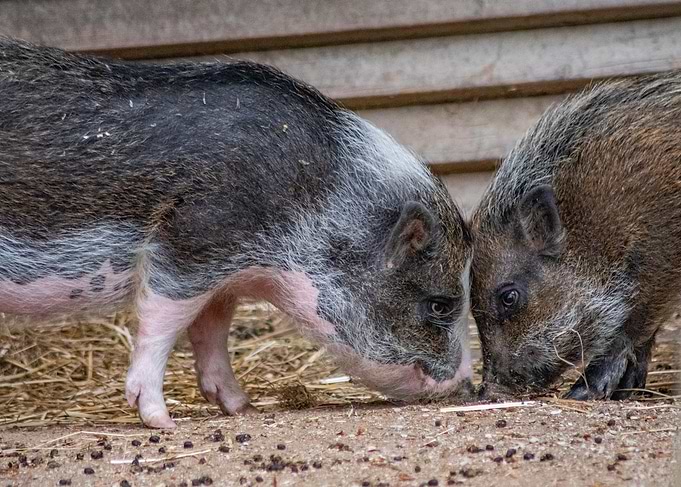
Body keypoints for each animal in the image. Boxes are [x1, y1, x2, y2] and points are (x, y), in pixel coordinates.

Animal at [0, 38, 473, 428]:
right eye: (439, 305)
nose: (466, 383)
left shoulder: (225, 277)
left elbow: (211, 331)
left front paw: (243, 408)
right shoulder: (194, 238)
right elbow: (161, 320)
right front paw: (162, 422)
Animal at [470, 72, 681, 400]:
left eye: (509, 297)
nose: (487, 392)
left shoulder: (657, 272)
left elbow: (626, 335)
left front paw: (580, 393)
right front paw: (624, 393)